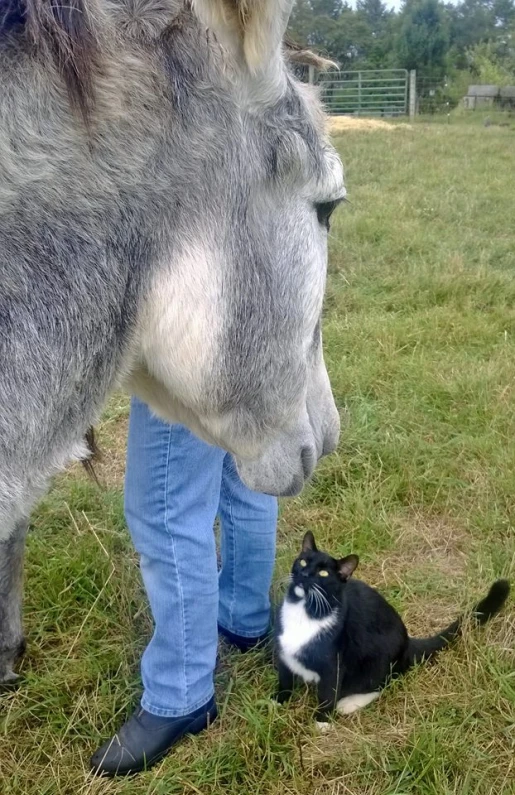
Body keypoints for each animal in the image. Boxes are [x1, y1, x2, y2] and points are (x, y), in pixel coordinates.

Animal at [276, 536, 510, 728]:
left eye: (323, 573)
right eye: (303, 562)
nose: (304, 573)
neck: (305, 611)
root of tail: (407, 641)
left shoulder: (333, 665)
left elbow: (327, 693)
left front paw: (322, 723)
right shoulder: (284, 654)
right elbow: (284, 681)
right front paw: (276, 704)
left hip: (377, 661)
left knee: (383, 681)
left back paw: (349, 703)